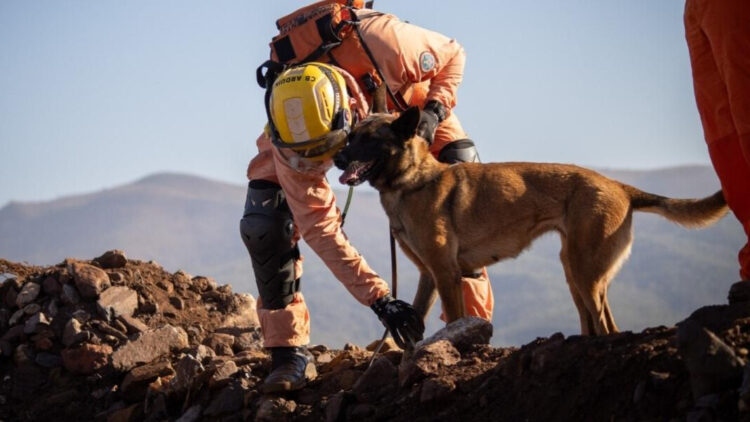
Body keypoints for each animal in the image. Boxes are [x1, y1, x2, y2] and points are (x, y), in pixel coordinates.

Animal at [334, 101, 728, 336]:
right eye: (351, 136)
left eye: (368, 139)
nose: (337, 158)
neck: (412, 180)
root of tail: (619, 186)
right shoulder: (429, 276)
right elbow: (410, 331)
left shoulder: (446, 274)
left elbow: (456, 317)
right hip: (574, 271)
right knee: (597, 322)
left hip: (585, 273)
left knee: (605, 325)